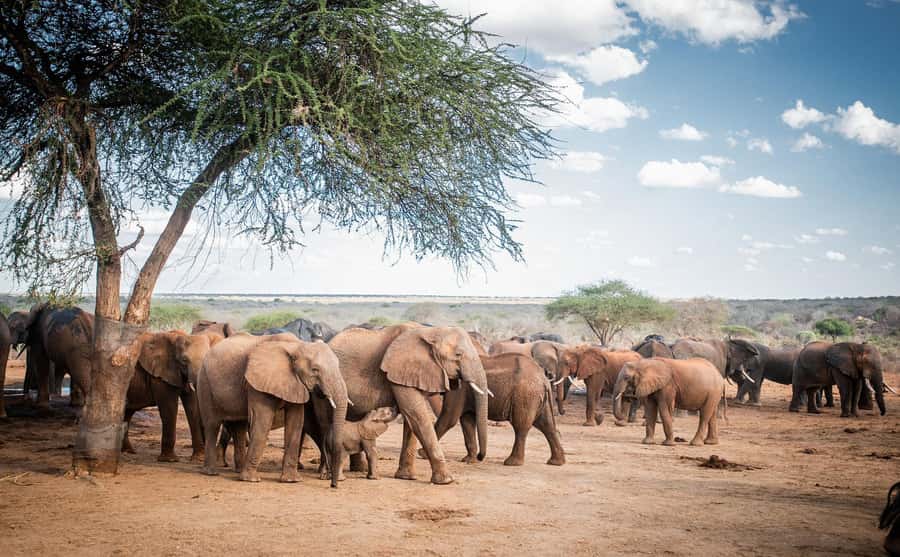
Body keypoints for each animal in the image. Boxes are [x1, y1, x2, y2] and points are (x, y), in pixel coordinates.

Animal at [122, 330, 219, 462]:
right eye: (184, 360)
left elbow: (192, 407)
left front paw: (198, 458)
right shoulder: (161, 375)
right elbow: (169, 408)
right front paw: (169, 460)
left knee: (127, 413)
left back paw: (128, 451)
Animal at [197, 333, 348, 485]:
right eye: (315, 370)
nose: (333, 485)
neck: (297, 346)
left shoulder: (295, 383)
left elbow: (296, 421)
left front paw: (291, 480)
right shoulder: (258, 381)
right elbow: (263, 420)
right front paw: (251, 480)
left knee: (239, 426)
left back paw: (238, 471)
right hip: (204, 382)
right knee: (212, 425)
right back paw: (211, 472)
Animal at [329, 324, 489, 485]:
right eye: (458, 355)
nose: (480, 457)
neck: (431, 331)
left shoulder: (412, 375)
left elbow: (411, 420)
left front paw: (407, 477)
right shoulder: (399, 371)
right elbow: (417, 415)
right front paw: (446, 481)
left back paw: (359, 469)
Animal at [433, 353, 564, 466]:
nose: (480, 457)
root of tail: (544, 379)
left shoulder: (459, 389)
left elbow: (449, 418)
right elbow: (467, 421)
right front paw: (468, 460)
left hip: (526, 395)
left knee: (521, 426)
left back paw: (512, 463)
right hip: (538, 397)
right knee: (546, 425)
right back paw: (556, 462)